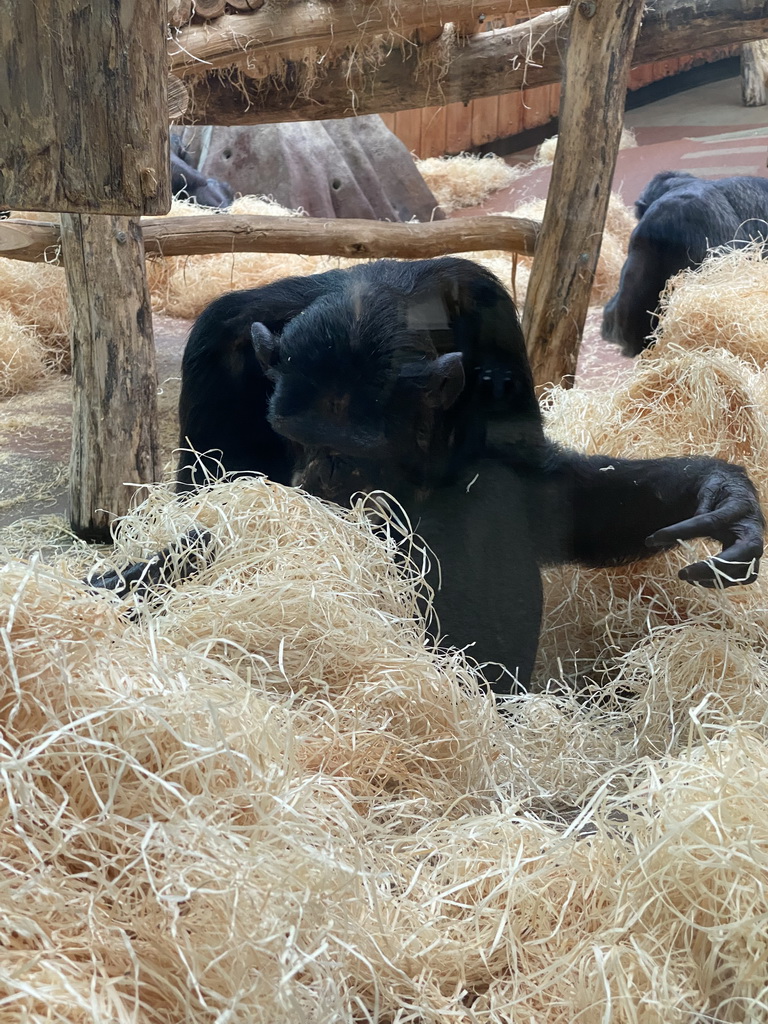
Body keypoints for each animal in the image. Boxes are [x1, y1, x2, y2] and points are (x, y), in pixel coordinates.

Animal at [93, 256, 765, 692]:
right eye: (294, 439)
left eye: (354, 454)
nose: (322, 481)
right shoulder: (218, 345)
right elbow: (204, 496)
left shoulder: (496, 322)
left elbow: (543, 492)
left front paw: (720, 496)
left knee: (487, 493)